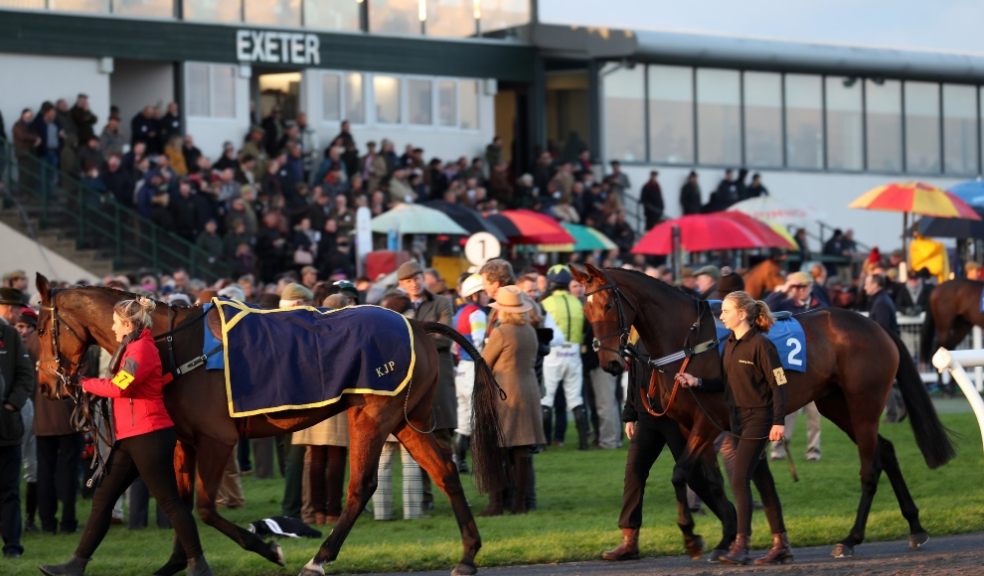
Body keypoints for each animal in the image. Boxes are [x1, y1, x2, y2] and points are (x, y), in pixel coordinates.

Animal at [32, 276, 508, 576]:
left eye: (38, 326)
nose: (45, 385)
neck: (172, 344)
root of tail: (415, 322)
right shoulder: (185, 442)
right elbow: (179, 504)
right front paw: (175, 563)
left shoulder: (218, 439)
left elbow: (204, 508)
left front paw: (266, 548)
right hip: (411, 419)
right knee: (444, 471)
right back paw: (468, 554)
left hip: (374, 415)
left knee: (361, 487)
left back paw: (319, 557)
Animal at [572, 262, 956, 560]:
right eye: (586, 310)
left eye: (607, 305)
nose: (608, 361)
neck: (688, 341)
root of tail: (877, 327)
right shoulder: (683, 423)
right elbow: (702, 476)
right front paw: (723, 535)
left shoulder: (708, 422)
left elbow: (681, 474)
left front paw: (693, 536)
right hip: (835, 404)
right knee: (886, 450)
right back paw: (915, 527)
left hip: (863, 402)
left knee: (871, 464)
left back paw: (850, 538)